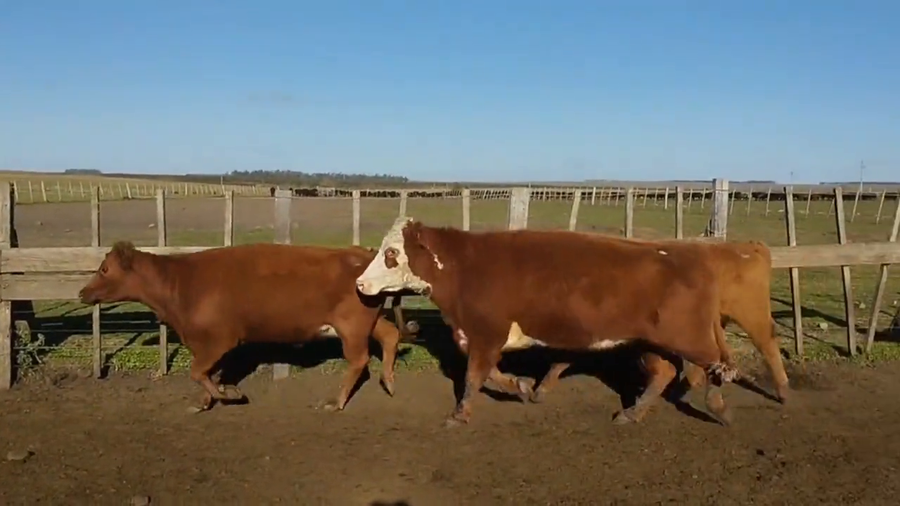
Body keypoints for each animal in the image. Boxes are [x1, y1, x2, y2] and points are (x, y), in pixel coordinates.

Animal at [78, 241, 418, 413]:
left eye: (104, 269)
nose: (83, 292)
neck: (181, 284)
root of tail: (361, 252)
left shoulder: (220, 340)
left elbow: (198, 372)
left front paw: (229, 395)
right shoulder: (206, 345)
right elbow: (208, 372)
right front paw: (206, 401)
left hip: (351, 327)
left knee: (359, 360)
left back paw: (336, 402)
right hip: (367, 322)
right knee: (389, 336)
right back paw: (388, 382)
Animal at [355, 217, 740, 428]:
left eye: (391, 253)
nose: (360, 284)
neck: (464, 268)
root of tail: (688, 256)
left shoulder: (486, 333)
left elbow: (474, 377)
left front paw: (459, 415)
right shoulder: (480, 337)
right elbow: (491, 374)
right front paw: (523, 387)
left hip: (687, 336)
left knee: (717, 365)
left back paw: (719, 407)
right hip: (651, 343)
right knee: (665, 373)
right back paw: (632, 413)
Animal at [524, 238, 790, 422]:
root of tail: (746, 246)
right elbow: (562, 358)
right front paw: (540, 389)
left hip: (750, 315)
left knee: (766, 343)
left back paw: (782, 391)